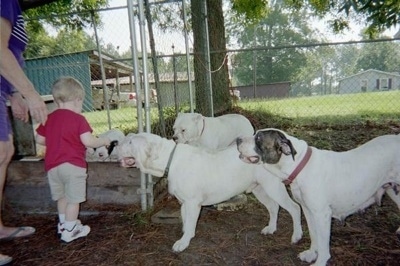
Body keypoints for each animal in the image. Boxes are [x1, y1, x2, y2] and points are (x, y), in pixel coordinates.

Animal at [117, 132, 302, 251]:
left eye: (131, 142)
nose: (116, 144)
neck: (169, 159)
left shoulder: (192, 203)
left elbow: (190, 222)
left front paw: (183, 242)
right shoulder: (184, 203)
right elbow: (186, 220)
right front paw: (187, 234)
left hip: (273, 187)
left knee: (294, 208)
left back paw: (297, 236)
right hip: (260, 189)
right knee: (273, 207)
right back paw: (271, 228)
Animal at [236, 128, 400, 264]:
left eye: (258, 138)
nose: (238, 139)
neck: (299, 166)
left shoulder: (322, 215)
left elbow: (323, 244)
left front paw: (320, 261)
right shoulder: (308, 211)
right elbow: (314, 234)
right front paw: (311, 254)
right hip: (393, 190)